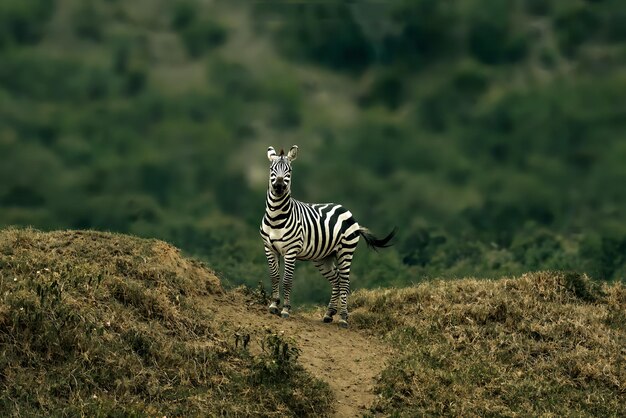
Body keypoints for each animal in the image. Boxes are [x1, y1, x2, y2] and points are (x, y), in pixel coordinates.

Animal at [258, 145, 392, 328]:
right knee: (336, 280)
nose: (279, 186)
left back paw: (343, 318)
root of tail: (344, 209)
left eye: (289, 170)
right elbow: (274, 276)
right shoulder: (269, 248)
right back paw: (329, 314)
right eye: (272, 169)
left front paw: (285, 310)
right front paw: (273, 305)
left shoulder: (291, 251)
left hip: (345, 251)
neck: (276, 218)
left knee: (345, 282)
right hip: (323, 257)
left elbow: (287, 280)